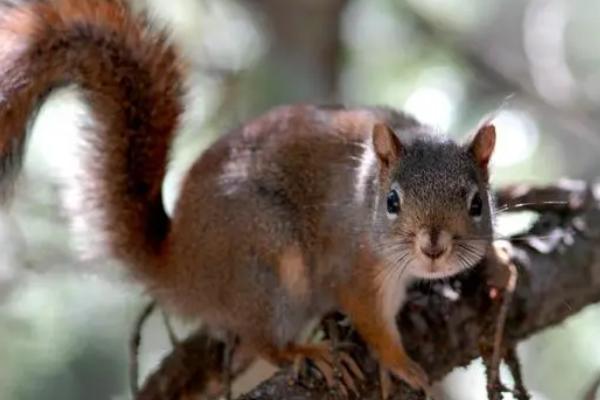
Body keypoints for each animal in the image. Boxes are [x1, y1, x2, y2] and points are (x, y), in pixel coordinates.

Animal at [0, 0, 496, 396]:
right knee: (261, 338)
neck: (366, 193)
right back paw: (301, 351)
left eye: (477, 203)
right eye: (392, 202)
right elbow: (373, 321)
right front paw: (399, 363)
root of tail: (180, 267)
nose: (433, 246)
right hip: (266, 260)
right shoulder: (354, 267)